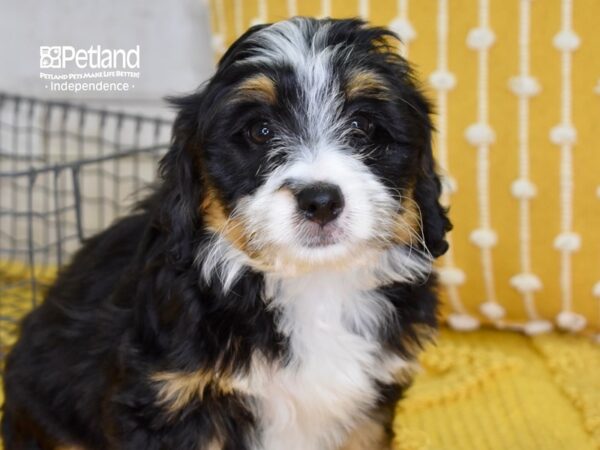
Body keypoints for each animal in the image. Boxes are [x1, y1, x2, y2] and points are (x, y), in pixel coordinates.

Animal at [1, 17, 450, 450]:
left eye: (363, 125)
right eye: (260, 132)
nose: (320, 200)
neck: (311, 285)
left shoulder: (369, 406)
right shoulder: (170, 398)